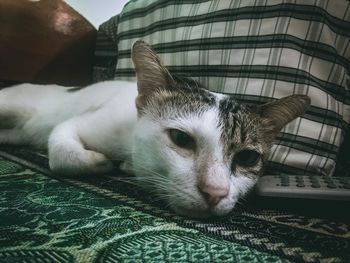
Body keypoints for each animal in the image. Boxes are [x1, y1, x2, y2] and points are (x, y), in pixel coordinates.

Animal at [0, 40, 310, 219]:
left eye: (247, 158)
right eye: (181, 138)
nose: (215, 192)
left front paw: (123, 166)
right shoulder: (77, 124)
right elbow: (63, 155)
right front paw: (101, 162)